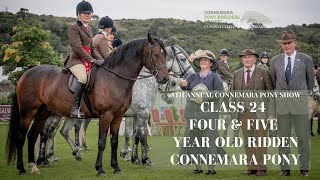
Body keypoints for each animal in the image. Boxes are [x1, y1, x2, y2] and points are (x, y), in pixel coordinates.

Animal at [5, 33, 170, 176]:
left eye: (166, 56)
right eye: (156, 54)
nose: (165, 79)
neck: (115, 78)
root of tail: (25, 74)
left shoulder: (118, 117)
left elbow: (115, 141)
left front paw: (116, 167)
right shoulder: (108, 116)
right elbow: (103, 142)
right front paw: (101, 169)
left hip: (43, 112)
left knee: (34, 135)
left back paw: (35, 165)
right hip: (29, 112)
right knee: (24, 136)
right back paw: (24, 168)